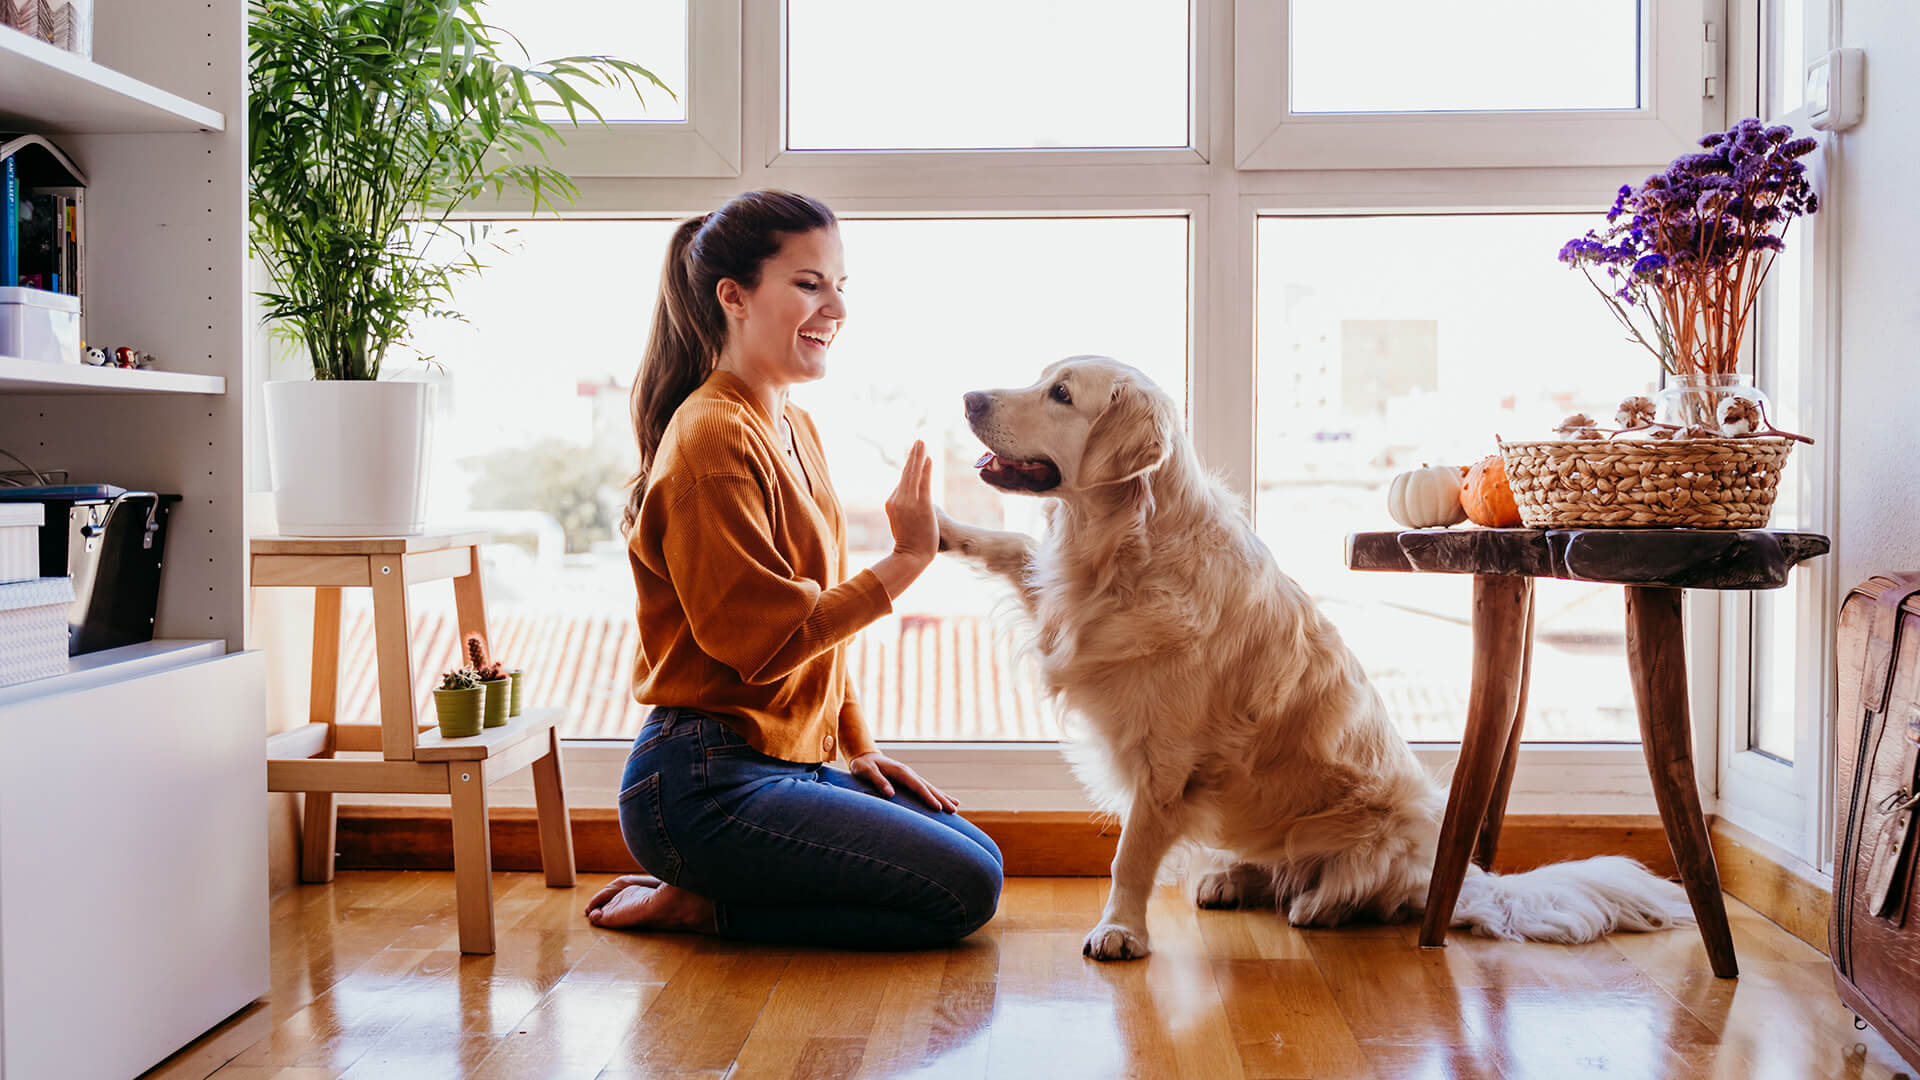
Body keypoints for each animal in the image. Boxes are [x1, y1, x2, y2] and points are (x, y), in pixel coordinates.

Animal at [936, 353, 1689, 957]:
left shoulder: (1166, 761)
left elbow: (1130, 856)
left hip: (1390, 825)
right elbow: (1012, 548)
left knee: (1364, 891)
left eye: (1061, 393)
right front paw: (940, 526)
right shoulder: (1062, 605)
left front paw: (1120, 930)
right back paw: (1231, 878)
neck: (1123, 548)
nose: (967, 398)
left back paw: (1318, 905)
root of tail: (1458, 877)